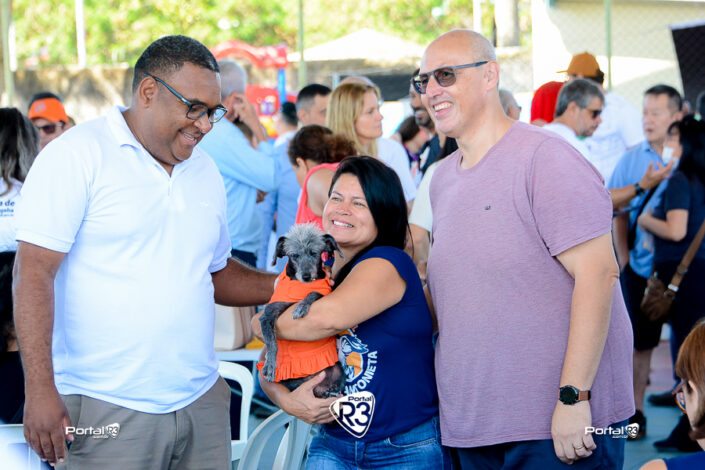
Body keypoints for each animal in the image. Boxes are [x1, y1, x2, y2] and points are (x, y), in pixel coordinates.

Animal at [258, 223, 346, 398]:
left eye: (314, 253)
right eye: (294, 255)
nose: (306, 276)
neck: (300, 285)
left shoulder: (323, 292)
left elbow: (312, 293)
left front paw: (301, 307)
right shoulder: (267, 315)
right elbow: (271, 342)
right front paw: (270, 364)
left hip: (338, 369)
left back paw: (330, 392)